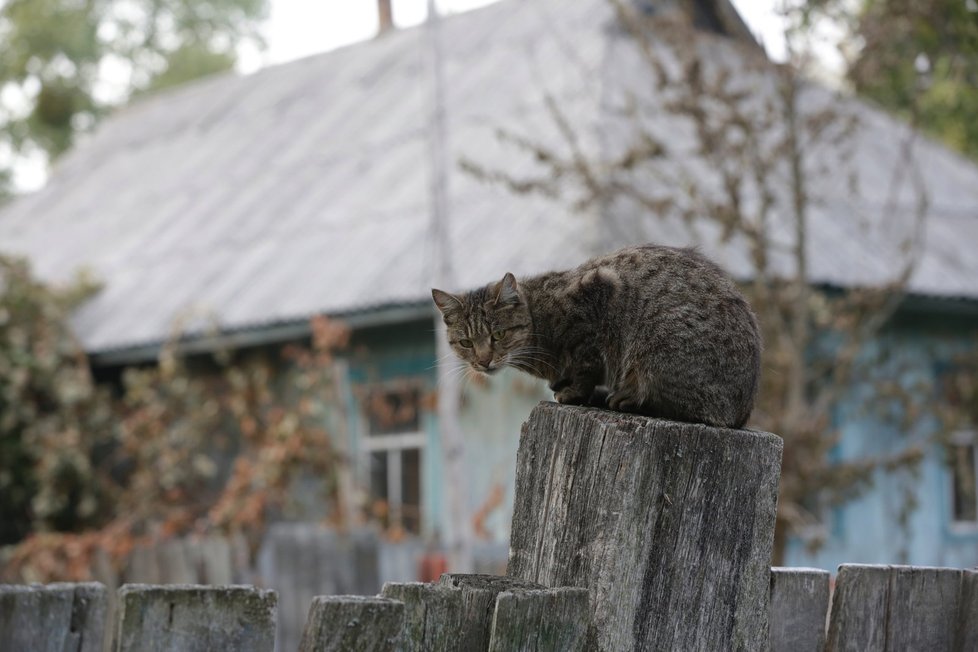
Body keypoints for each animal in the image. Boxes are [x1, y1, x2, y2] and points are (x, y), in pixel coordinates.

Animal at [430, 243, 760, 428]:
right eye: (466, 343)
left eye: (498, 334)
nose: (484, 361)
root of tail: (743, 411)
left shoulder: (597, 297)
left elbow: (585, 364)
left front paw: (574, 391)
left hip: (658, 349)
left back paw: (623, 397)